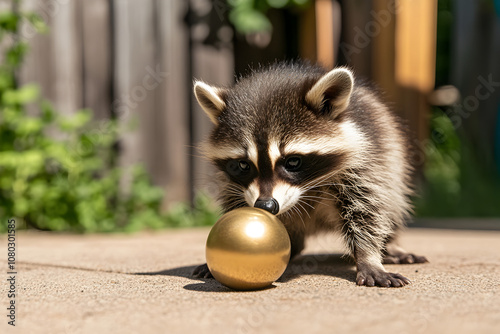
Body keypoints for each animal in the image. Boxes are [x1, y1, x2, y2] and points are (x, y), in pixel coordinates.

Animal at [191, 62, 426, 288]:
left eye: (293, 161)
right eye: (243, 165)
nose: (266, 206)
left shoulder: (364, 163)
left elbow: (366, 210)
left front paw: (367, 257)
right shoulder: (232, 184)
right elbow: (234, 201)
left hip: (392, 161)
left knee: (390, 201)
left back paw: (390, 245)